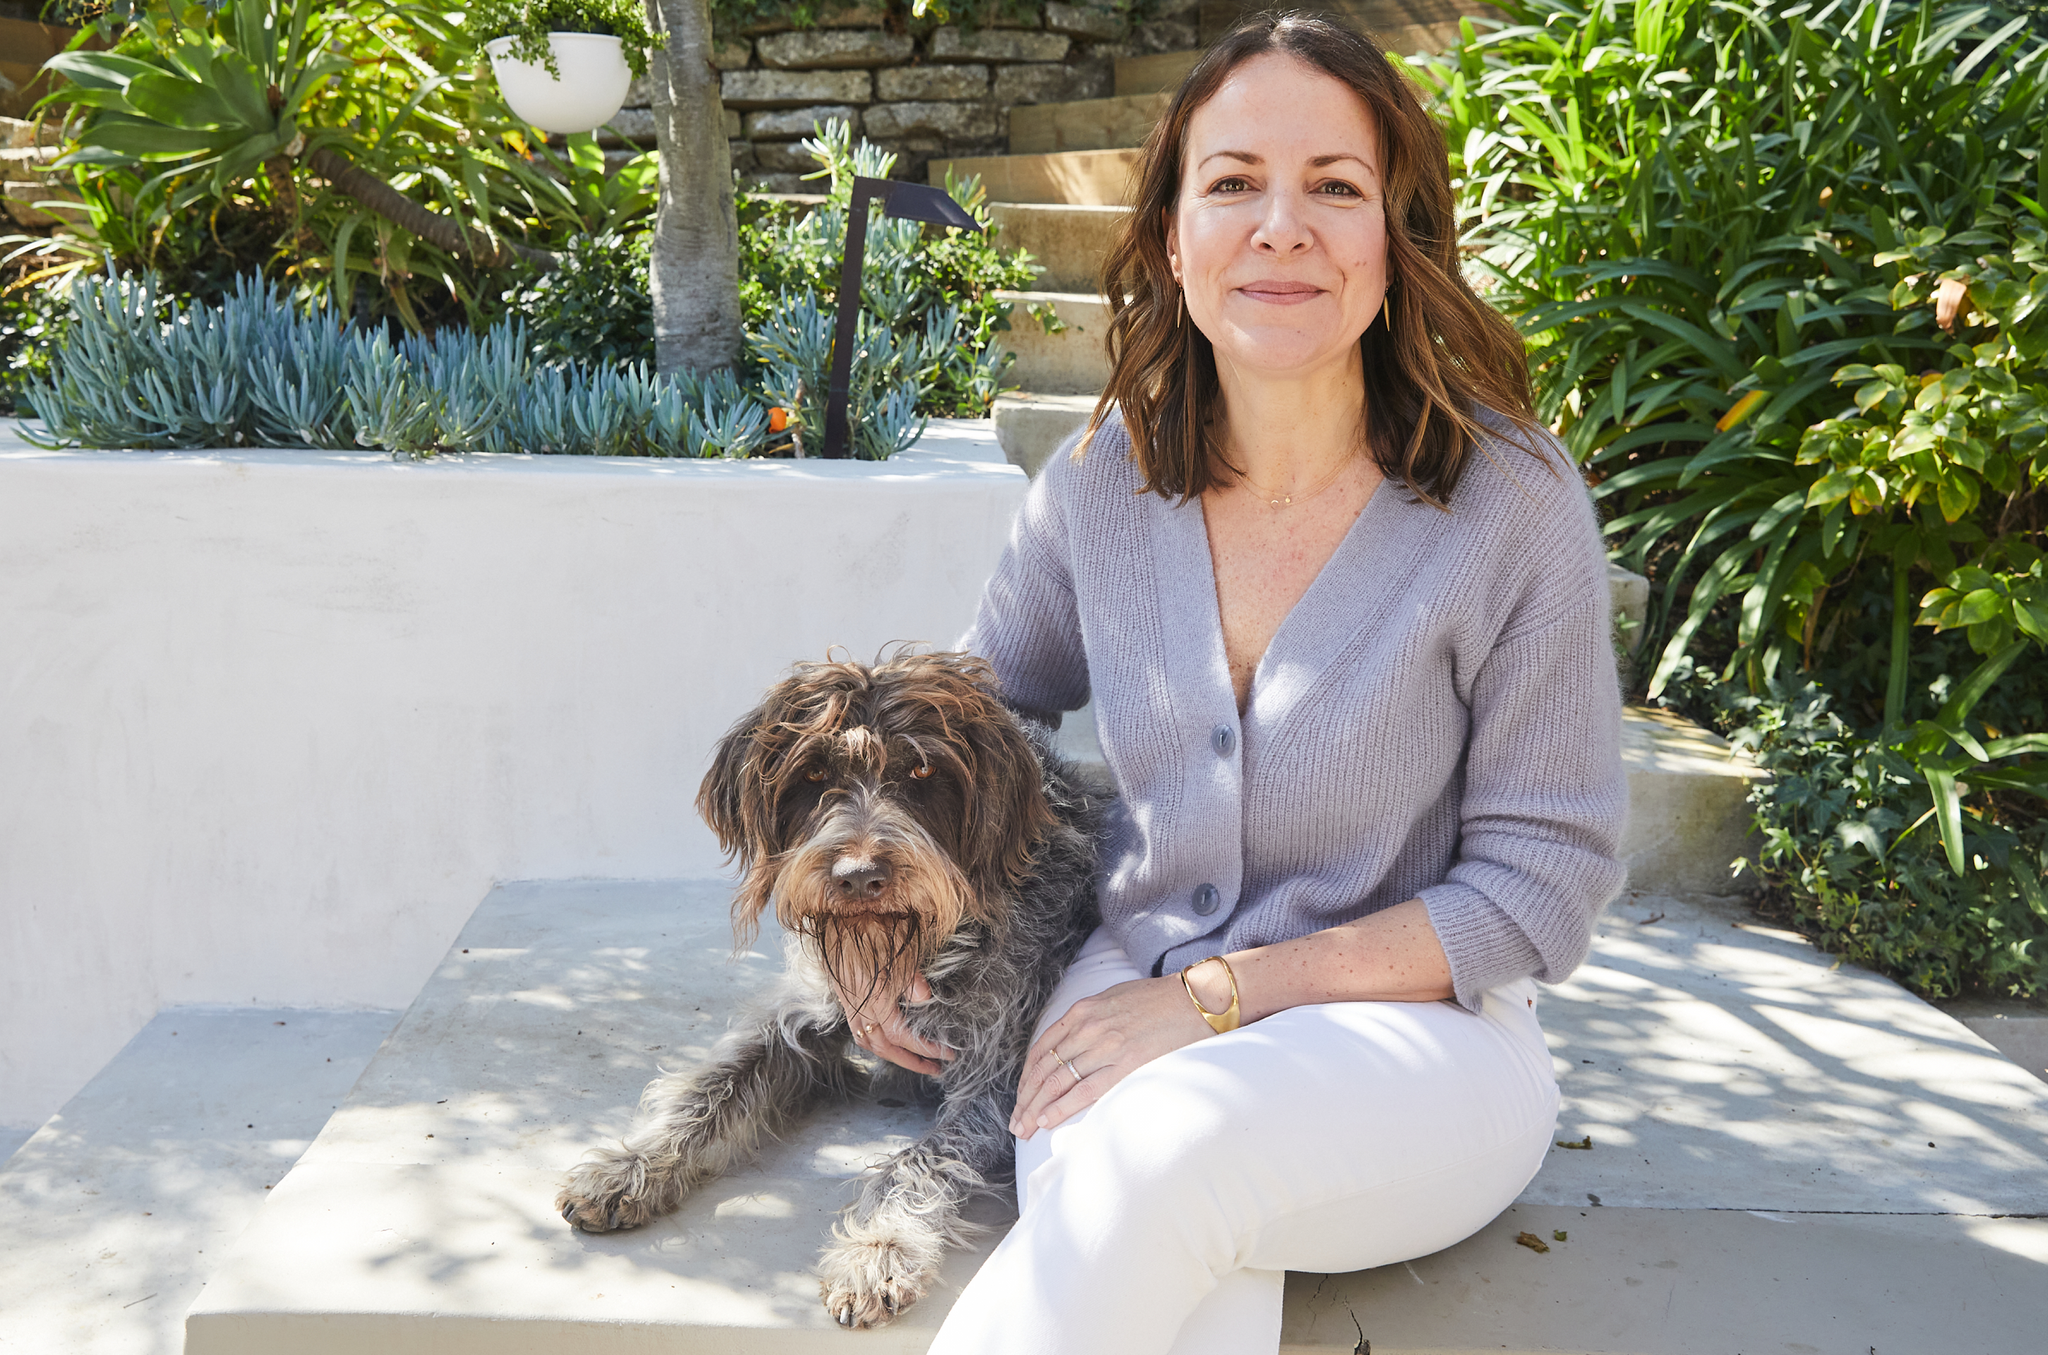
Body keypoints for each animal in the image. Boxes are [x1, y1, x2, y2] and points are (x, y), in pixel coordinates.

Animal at [557, 654, 1105, 1334]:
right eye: (814, 773)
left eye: (923, 771)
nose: (858, 877)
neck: (918, 948)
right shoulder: (811, 1014)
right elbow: (711, 1088)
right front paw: (628, 1168)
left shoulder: (997, 1080)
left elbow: (917, 1161)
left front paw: (878, 1250)